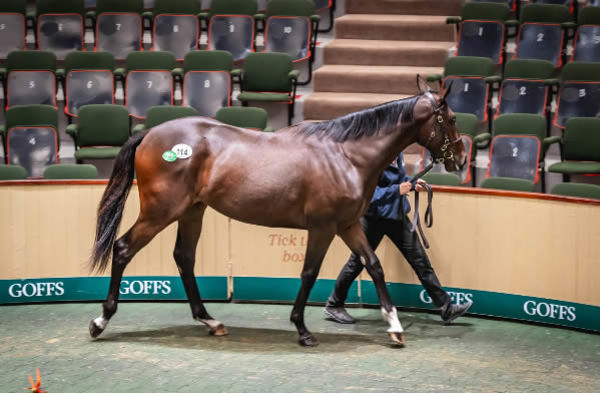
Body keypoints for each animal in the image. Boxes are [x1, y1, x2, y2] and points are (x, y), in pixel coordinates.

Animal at [89, 76, 464, 346]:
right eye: (452, 118)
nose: (460, 159)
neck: (345, 155)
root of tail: (150, 133)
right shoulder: (324, 227)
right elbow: (309, 273)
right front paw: (302, 330)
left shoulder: (348, 225)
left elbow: (373, 266)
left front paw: (395, 326)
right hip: (160, 211)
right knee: (123, 249)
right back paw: (100, 321)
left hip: (192, 211)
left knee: (184, 257)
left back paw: (211, 321)